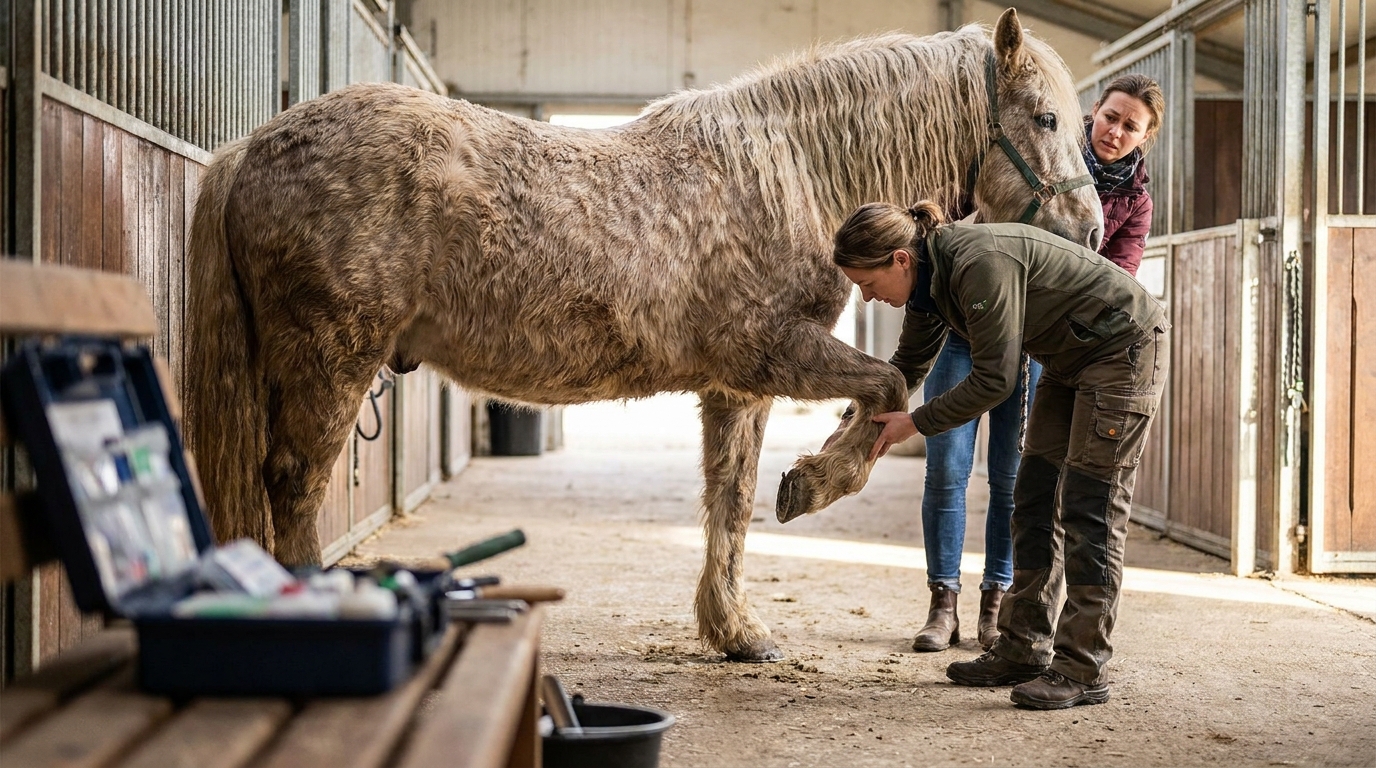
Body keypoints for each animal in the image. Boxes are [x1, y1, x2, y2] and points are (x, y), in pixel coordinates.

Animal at [185, 8, 1101, 662]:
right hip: (329, 358)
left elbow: (730, 497)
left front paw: (736, 631)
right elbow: (885, 386)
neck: (791, 174)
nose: (1091, 228)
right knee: (294, 484)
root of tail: (252, 149)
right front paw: (811, 485)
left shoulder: (738, 385)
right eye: (1046, 118)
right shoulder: (774, 354)